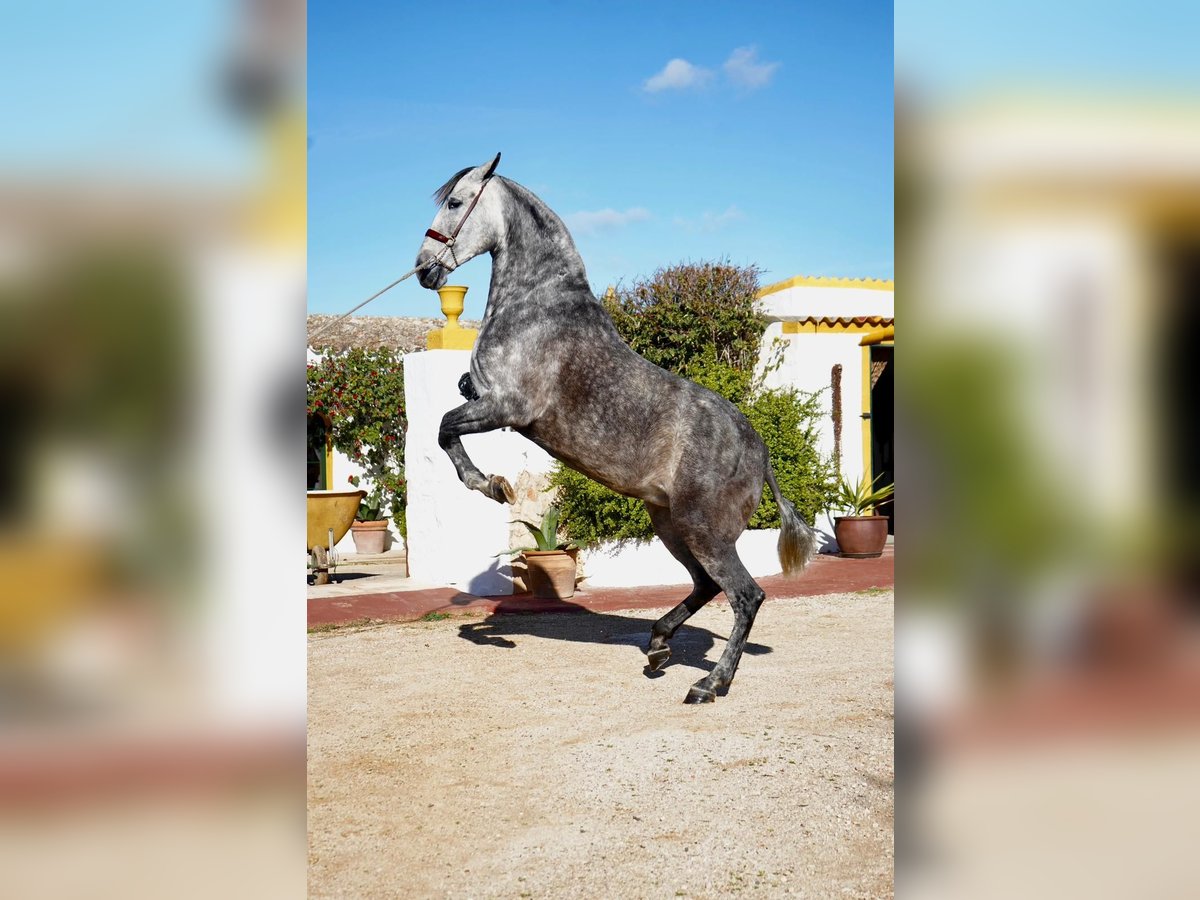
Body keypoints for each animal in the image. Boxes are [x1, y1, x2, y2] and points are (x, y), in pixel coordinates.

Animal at [414, 154, 818, 703]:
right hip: (670, 524)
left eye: (456, 202)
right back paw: (658, 646)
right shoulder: (489, 401)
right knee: (707, 586)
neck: (537, 305)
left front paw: (492, 485)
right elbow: (452, 410)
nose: (423, 269)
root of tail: (760, 451)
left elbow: (444, 429)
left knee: (745, 594)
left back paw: (710, 683)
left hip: (703, 531)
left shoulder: (508, 409)